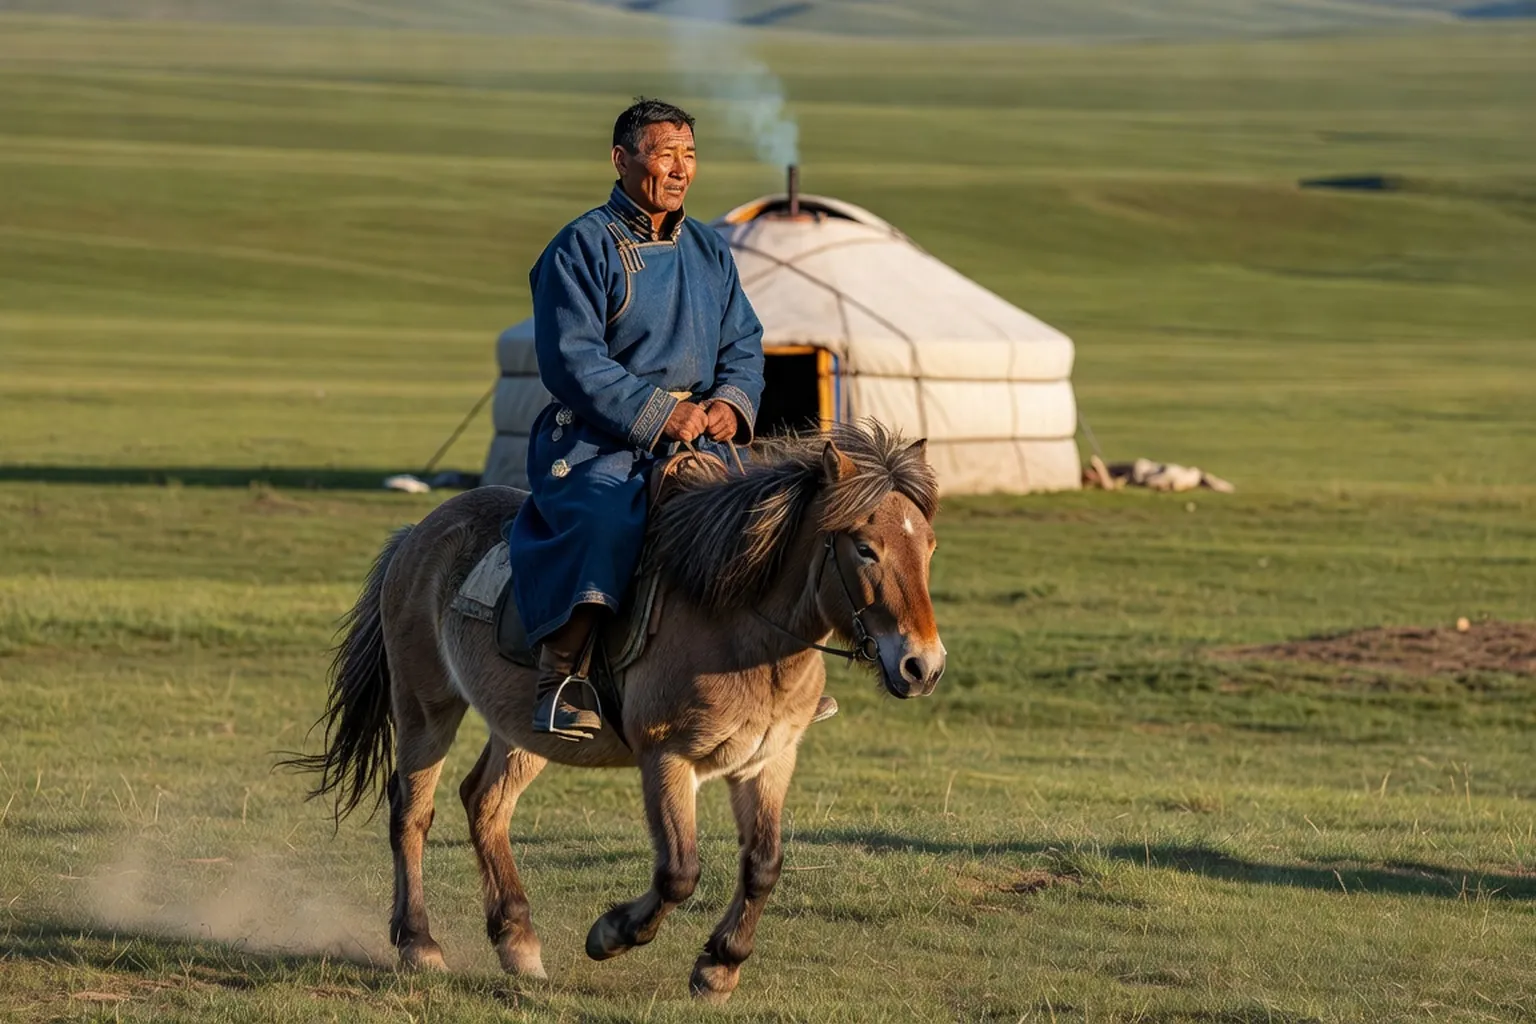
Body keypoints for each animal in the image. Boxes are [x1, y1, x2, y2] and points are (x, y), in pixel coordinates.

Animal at [284, 422, 945, 1004]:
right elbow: (679, 870)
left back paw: (517, 941)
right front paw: (612, 935)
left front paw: (719, 967)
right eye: (866, 548)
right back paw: (419, 944)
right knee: (412, 814)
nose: (924, 666)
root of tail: (419, 531)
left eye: (929, 547)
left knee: (485, 802)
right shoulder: (668, 757)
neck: (741, 627)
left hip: (527, 728)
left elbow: (763, 865)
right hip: (427, 705)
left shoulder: (767, 762)